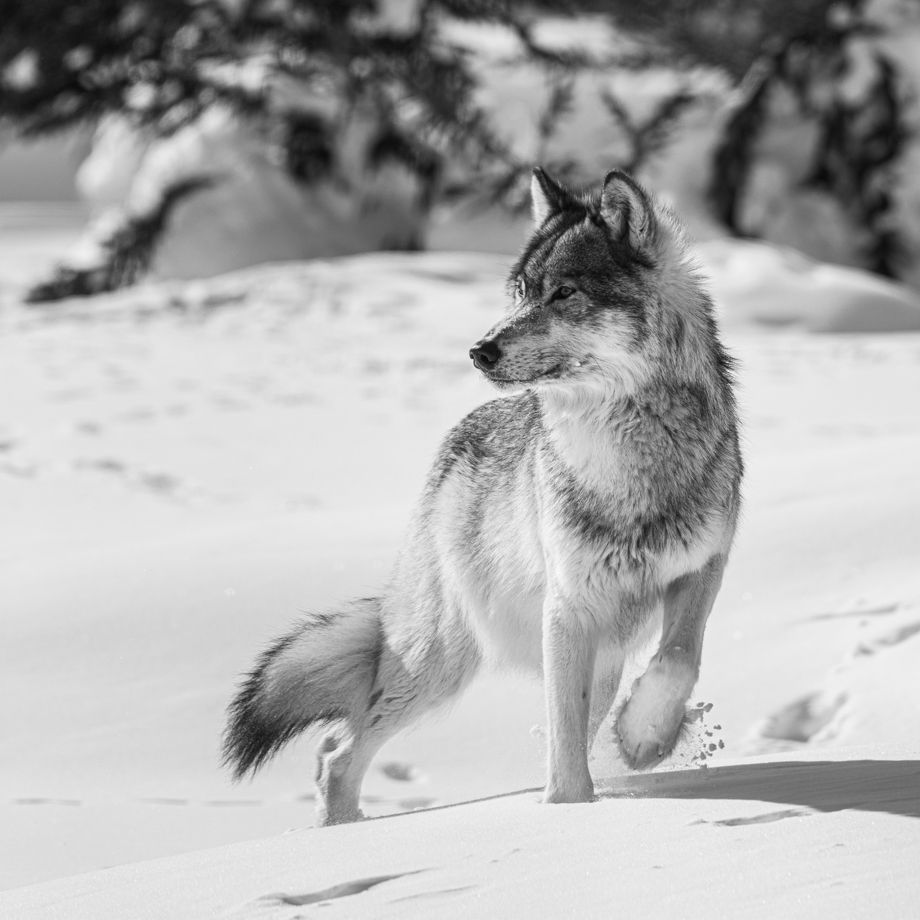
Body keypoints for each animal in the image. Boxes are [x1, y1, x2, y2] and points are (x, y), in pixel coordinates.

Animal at [223, 168, 742, 824]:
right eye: (519, 292)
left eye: (564, 293)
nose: (480, 350)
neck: (630, 466)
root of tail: (448, 452)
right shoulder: (568, 610)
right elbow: (565, 747)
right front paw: (571, 808)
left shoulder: (702, 568)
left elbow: (677, 659)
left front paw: (643, 738)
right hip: (438, 663)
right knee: (336, 753)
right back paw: (340, 832)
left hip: (583, 656)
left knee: (333, 750)